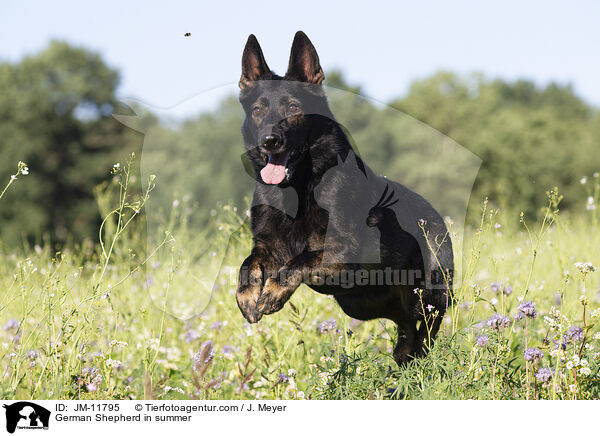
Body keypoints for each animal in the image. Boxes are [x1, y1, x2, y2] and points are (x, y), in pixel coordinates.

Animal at [237, 31, 452, 364]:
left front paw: (273, 291)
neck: (298, 187)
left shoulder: (344, 253)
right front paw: (248, 296)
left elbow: (300, 260)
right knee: (406, 328)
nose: (269, 141)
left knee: (425, 330)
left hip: (428, 297)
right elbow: (247, 265)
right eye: (257, 111)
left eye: (293, 108)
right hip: (362, 304)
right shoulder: (267, 248)